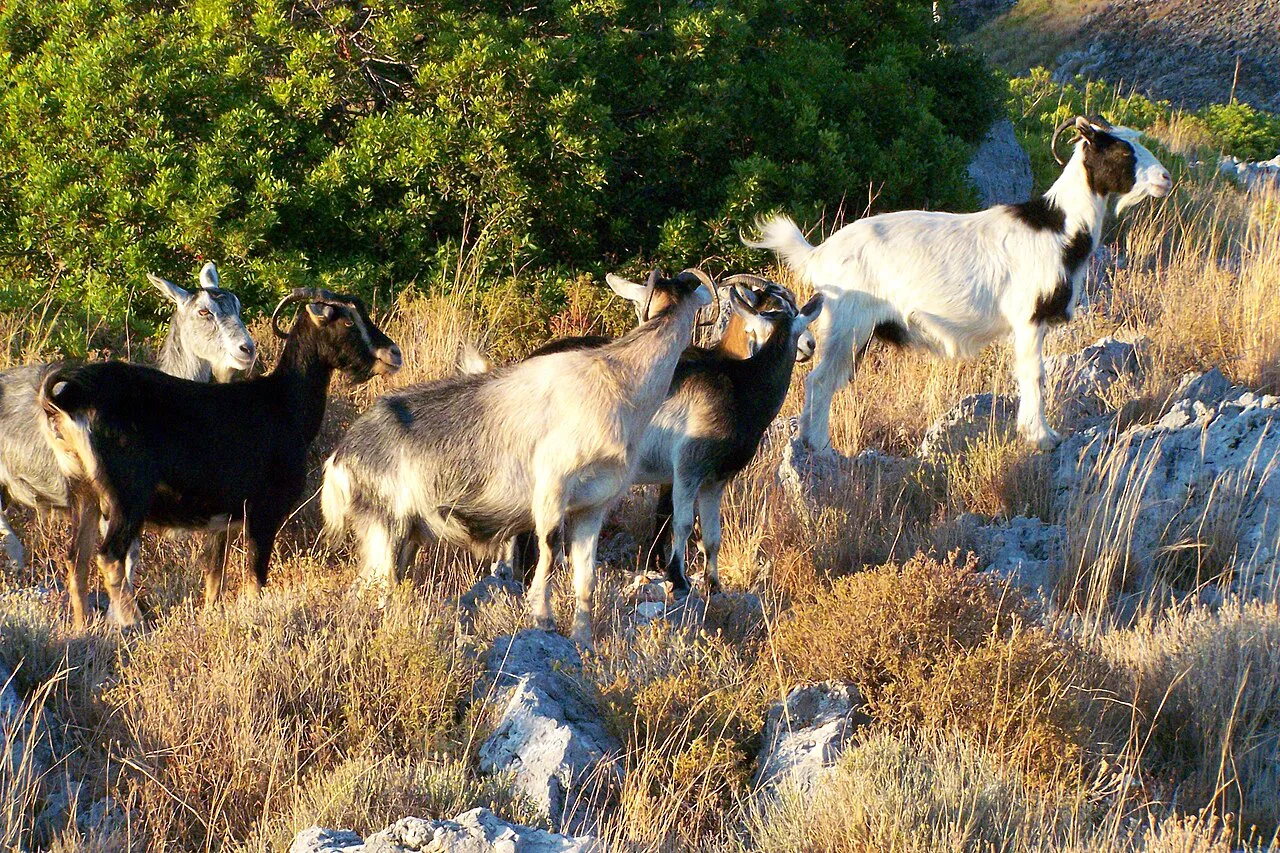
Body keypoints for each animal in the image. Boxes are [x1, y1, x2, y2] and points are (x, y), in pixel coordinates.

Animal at [38, 289, 400, 627]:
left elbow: (215, 576)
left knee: (77, 559)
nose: (393, 354)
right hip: (127, 497)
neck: (283, 403)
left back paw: (83, 629)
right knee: (109, 556)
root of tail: (69, 397)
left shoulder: (221, 519)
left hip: (83, 492)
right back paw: (134, 624)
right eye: (346, 320)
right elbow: (255, 578)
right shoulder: (263, 511)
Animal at [321, 270, 714, 645]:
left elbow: (585, 578)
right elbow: (549, 550)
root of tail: (340, 458)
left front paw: (582, 640)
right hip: (384, 528)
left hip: (405, 536)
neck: (618, 383)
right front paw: (542, 619)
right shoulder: (552, 489)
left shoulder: (593, 507)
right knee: (373, 590)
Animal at [746, 115, 1172, 452]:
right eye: (1121, 151)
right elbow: (1034, 373)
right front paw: (1041, 437)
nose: (1165, 178)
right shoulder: (1028, 317)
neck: (1058, 225)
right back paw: (819, 446)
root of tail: (818, 253)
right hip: (848, 324)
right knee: (820, 381)